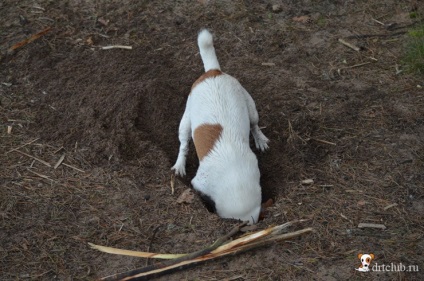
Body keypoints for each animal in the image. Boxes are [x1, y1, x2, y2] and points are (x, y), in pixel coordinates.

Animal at [171, 29, 268, 224]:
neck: (234, 177)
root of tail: (212, 71)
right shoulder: (199, 183)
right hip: (186, 122)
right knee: (183, 145)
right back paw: (179, 165)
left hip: (250, 107)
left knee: (254, 125)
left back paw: (260, 139)